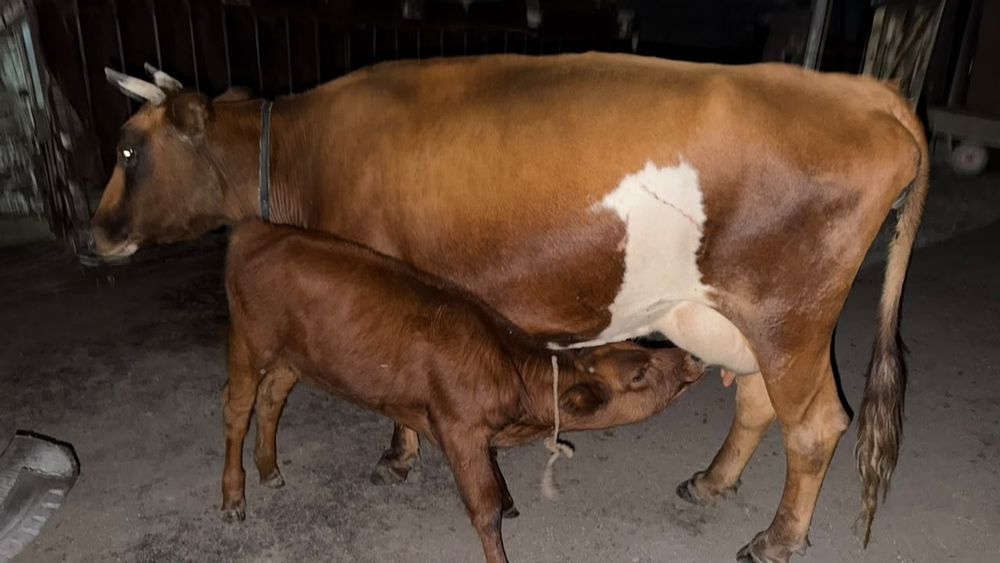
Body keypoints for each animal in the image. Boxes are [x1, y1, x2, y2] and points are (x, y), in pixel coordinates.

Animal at [223, 220, 707, 563]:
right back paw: (233, 498)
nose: (691, 358)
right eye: (639, 373)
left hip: (293, 358)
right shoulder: (459, 428)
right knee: (238, 410)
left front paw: (510, 501)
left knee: (272, 399)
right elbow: (484, 507)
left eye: (640, 346)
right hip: (248, 343)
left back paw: (269, 469)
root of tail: (256, 228)